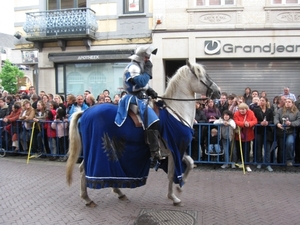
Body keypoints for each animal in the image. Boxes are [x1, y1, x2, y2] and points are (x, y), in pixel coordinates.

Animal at [66, 60, 220, 207]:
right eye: (203, 76)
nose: (218, 91)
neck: (176, 111)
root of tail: (85, 112)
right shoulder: (175, 149)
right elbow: (172, 173)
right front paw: (174, 197)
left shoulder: (175, 150)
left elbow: (190, 162)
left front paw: (179, 188)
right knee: (85, 170)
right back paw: (88, 198)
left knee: (84, 168)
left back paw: (112, 193)